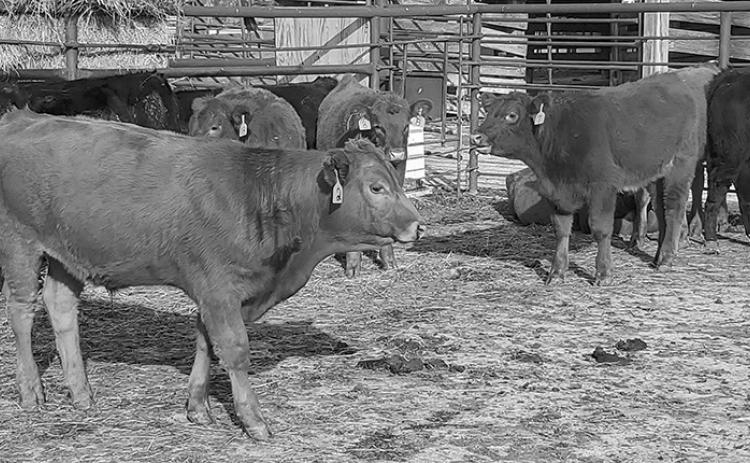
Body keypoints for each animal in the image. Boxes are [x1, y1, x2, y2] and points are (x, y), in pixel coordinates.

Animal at [0, 109, 423, 440]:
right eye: (377, 187)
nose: (417, 225)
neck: (262, 195)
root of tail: (23, 117)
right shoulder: (218, 289)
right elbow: (234, 350)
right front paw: (253, 420)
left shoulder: (219, 294)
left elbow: (206, 342)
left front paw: (198, 406)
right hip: (20, 242)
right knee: (21, 311)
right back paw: (31, 391)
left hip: (67, 254)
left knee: (60, 307)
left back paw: (82, 393)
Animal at [474, 64, 720, 285]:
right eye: (489, 113)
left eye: (511, 115)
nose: (476, 136)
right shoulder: (557, 192)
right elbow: (561, 230)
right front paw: (557, 272)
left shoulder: (603, 186)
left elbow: (601, 229)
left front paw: (603, 273)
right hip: (658, 171)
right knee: (660, 208)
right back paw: (657, 256)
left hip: (682, 163)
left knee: (674, 207)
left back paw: (667, 258)